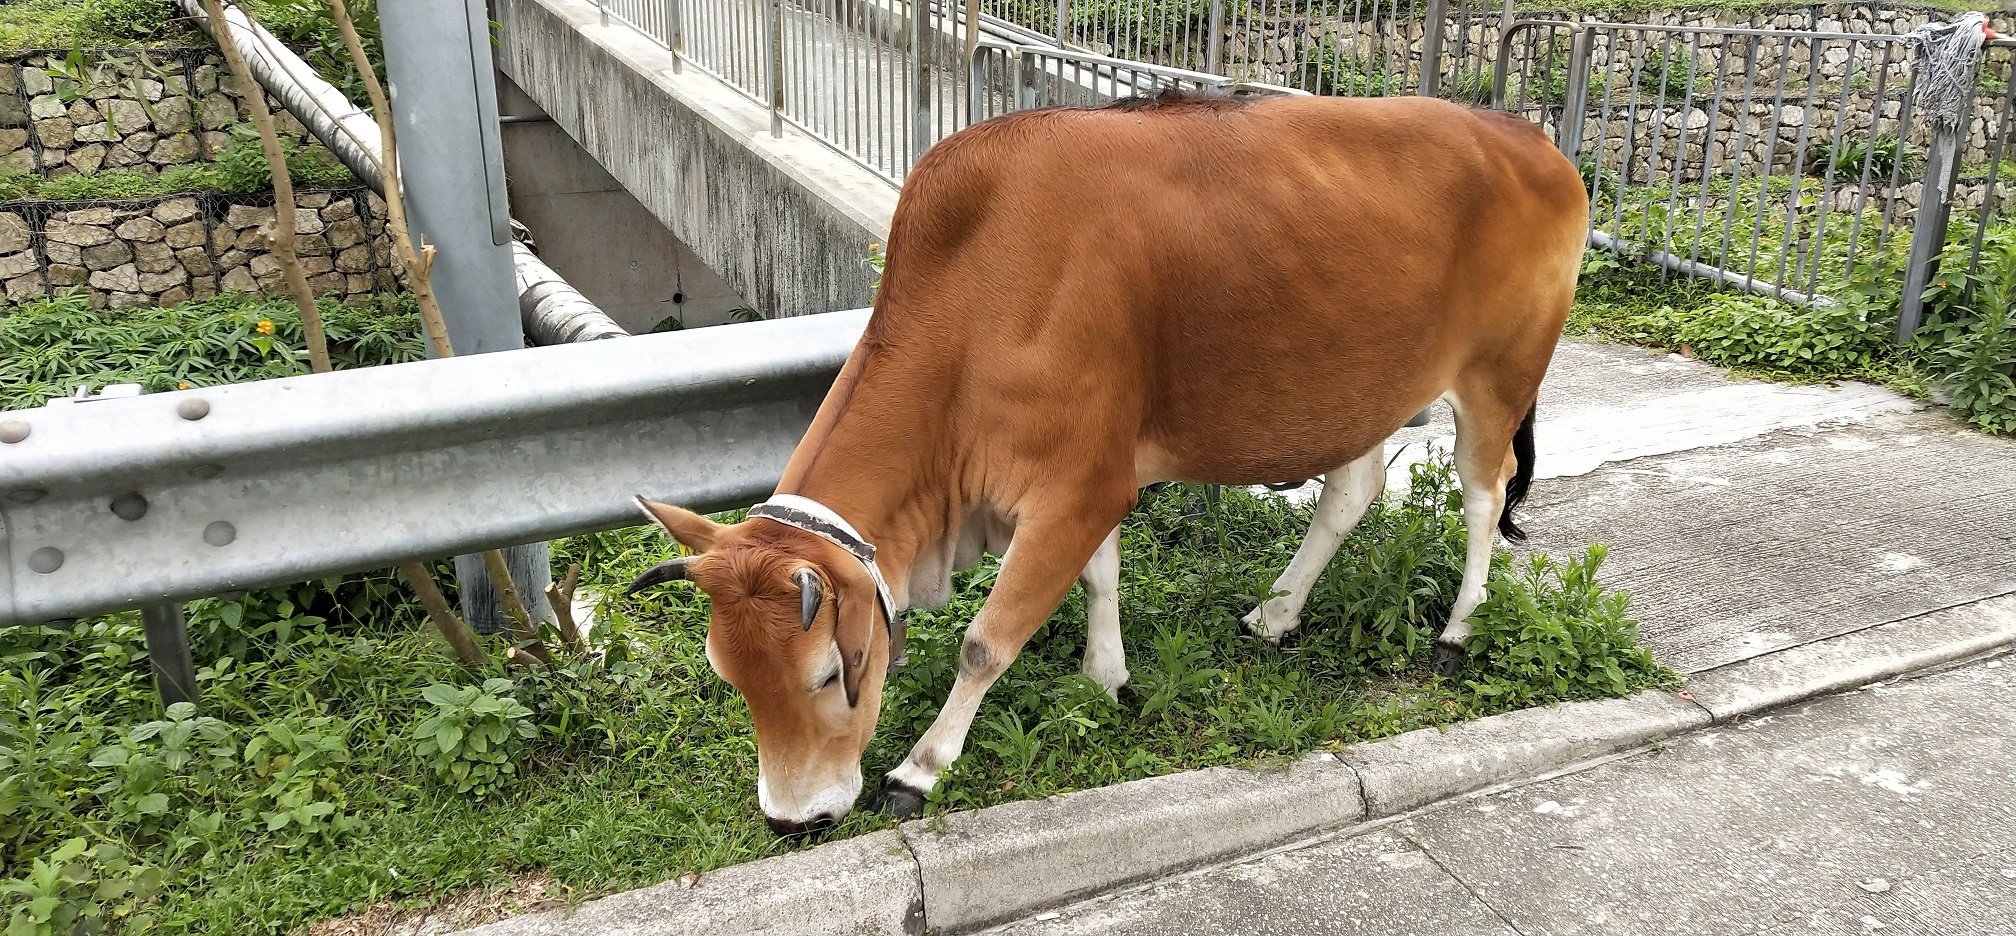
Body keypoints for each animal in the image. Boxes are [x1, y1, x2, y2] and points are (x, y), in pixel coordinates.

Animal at [628, 89, 1588, 835]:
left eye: (827, 673)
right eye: (727, 675)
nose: (792, 819)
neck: (976, 298)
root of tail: (1529, 136)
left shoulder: (1079, 487)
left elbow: (987, 640)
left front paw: (922, 766)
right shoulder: (1090, 477)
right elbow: (1100, 579)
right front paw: (1106, 678)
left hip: (1498, 376)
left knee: (1481, 495)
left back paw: (1458, 630)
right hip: (1363, 390)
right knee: (1354, 490)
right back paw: (1274, 613)